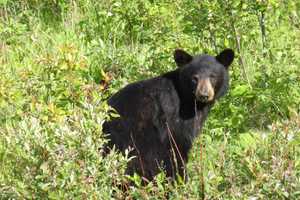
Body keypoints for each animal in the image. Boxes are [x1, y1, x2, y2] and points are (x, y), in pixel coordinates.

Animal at [103, 48, 234, 183]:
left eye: (213, 76)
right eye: (194, 78)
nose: (204, 95)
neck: (188, 100)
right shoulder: (173, 116)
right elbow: (176, 147)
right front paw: (181, 179)